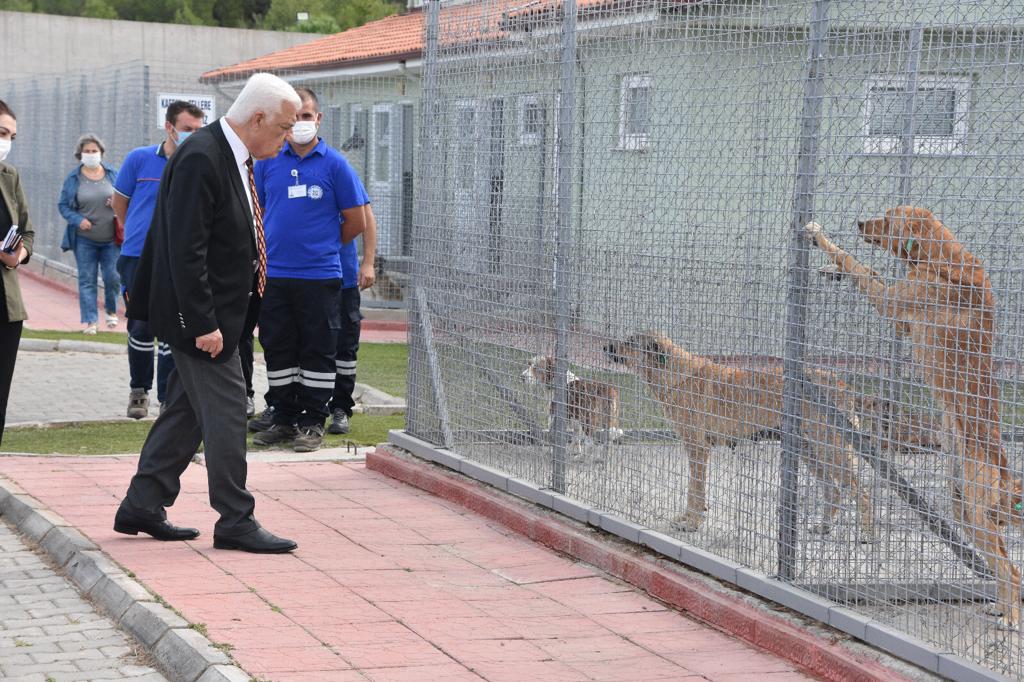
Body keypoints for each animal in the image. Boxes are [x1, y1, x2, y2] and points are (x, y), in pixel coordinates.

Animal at [602, 331, 876, 540]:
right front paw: (690, 518)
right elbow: (694, 489)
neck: (673, 373)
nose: (605, 346)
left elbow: (695, 489)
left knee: (860, 491)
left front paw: (692, 523)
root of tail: (843, 386)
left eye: (630, 342)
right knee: (833, 490)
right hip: (810, 451)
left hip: (830, 449)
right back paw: (824, 527)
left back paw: (866, 534)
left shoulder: (697, 448)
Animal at [806, 205, 1024, 626]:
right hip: (963, 509)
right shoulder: (898, 311)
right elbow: (864, 269)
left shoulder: (892, 304)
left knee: (1012, 569)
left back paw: (1010, 619)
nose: (859, 222)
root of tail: (1006, 472)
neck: (936, 256)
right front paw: (829, 267)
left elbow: (855, 264)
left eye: (887, 218)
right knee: (1003, 565)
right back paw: (999, 607)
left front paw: (823, 240)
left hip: (978, 510)